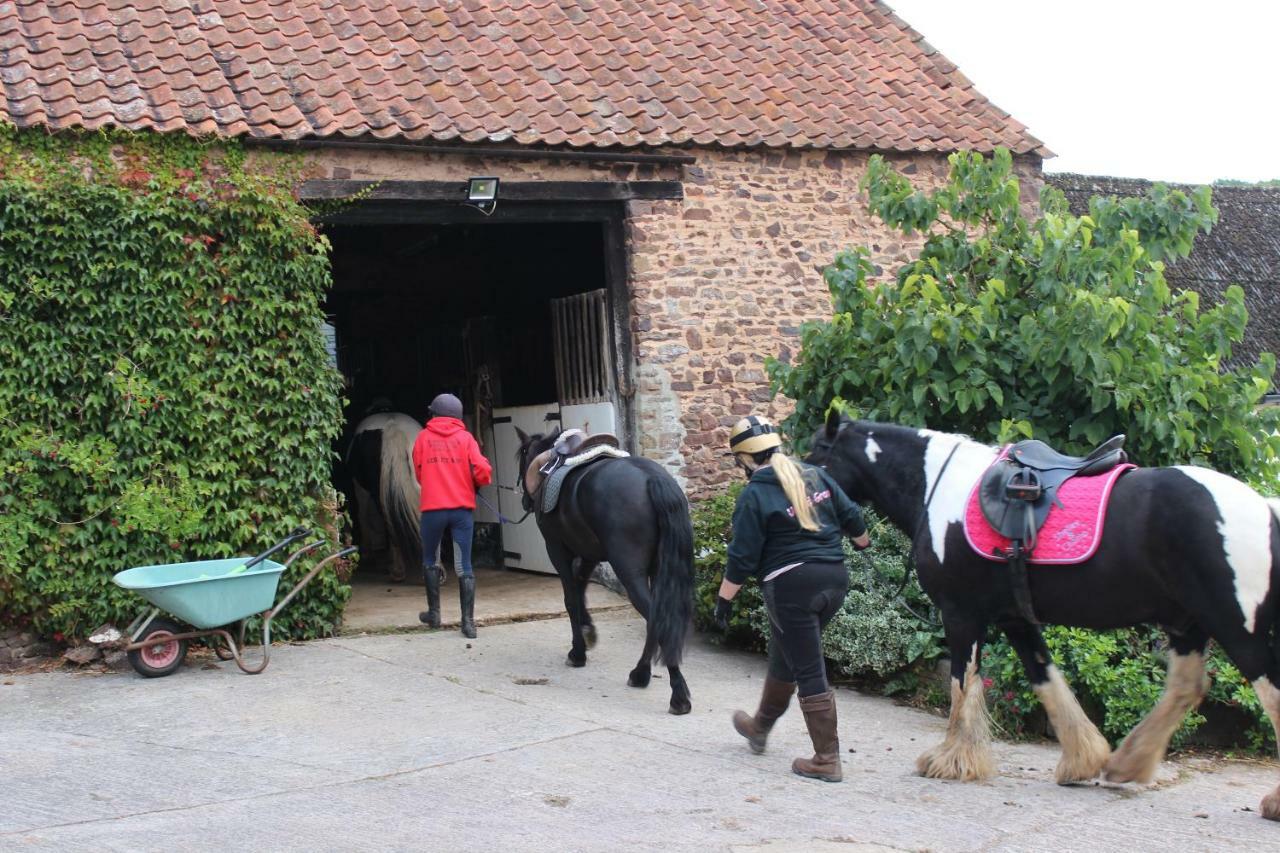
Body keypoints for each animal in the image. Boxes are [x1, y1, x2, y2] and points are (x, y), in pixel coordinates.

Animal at [514, 425, 696, 712]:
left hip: (629, 572)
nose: (524, 501)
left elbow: (570, 598)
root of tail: (652, 479)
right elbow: (580, 590)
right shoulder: (590, 553)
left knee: (657, 619)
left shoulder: (557, 550)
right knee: (655, 618)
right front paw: (588, 632)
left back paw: (677, 695)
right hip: (658, 571)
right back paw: (640, 674)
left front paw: (578, 652)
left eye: (522, 454)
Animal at [808, 412, 1280, 819]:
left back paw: (1271, 801)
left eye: (815, 454)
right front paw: (1083, 760)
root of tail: (1264, 509)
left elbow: (962, 682)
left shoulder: (961, 613)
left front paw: (952, 761)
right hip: (1187, 623)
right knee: (1185, 688)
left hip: (1236, 625)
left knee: (1266, 691)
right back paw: (1127, 763)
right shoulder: (1016, 619)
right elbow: (1047, 680)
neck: (938, 490)